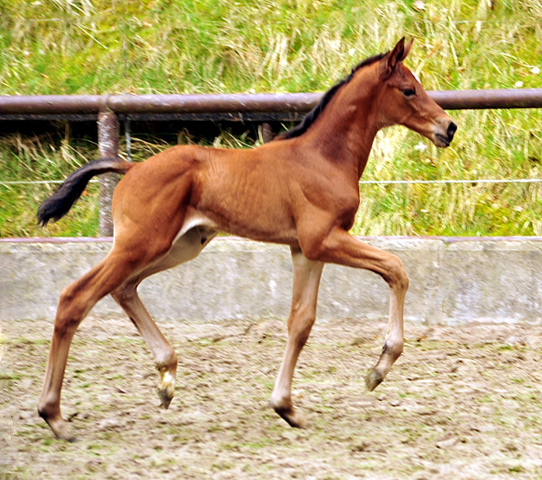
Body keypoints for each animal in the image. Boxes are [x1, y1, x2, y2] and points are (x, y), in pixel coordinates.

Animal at [36, 39, 456, 440]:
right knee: (76, 297)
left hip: (181, 245)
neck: (323, 157)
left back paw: (167, 378)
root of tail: (132, 166)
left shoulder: (305, 250)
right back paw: (53, 415)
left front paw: (286, 407)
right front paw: (377, 370)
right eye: (408, 90)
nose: (448, 127)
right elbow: (395, 269)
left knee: (124, 288)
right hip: (141, 243)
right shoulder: (323, 239)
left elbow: (301, 322)